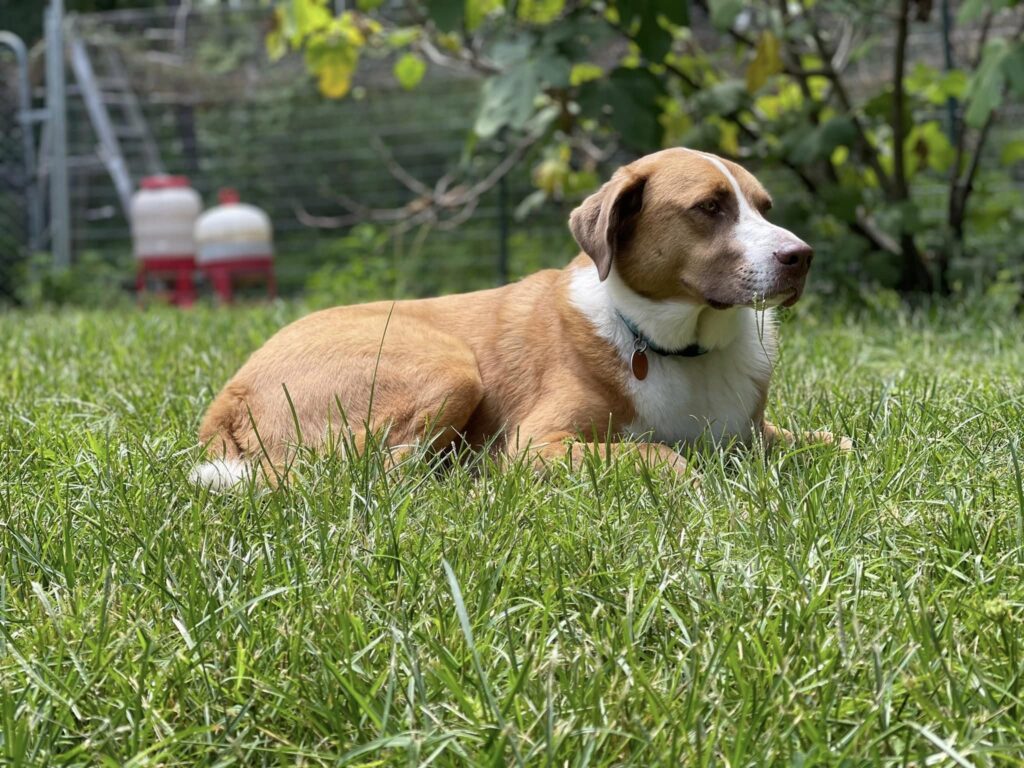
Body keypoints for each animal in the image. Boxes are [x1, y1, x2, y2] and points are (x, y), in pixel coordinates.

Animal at [192, 147, 847, 489]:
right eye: (709, 208)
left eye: (764, 207)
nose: (802, 257)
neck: (678, 348)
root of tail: (231, 389)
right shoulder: (540, 444)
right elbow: (661, 456)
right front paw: (693, 476)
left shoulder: (754, 434)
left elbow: (834, 441)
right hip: (448, 368)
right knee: (374, 468)